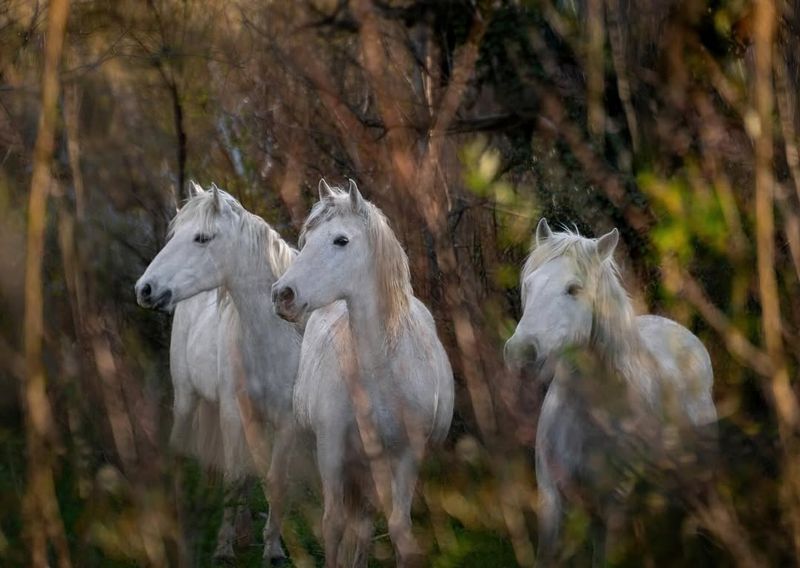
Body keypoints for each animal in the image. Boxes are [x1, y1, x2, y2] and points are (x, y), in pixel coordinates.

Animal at [136, 183, 302, 564]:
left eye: (201, 237)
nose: (145, 289)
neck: (276, 337)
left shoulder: (286, 423)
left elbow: (275, 480)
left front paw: (272, 549)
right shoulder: (234, 413)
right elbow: (235, 476)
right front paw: (223, 549)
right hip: (187, 399)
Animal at [272, 180, 454, 564]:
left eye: (341, 240)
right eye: (306, 240)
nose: (282, 295)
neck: (382, 371)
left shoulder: (408, 454)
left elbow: (400, 528)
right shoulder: (331, 449)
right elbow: (333, 524)